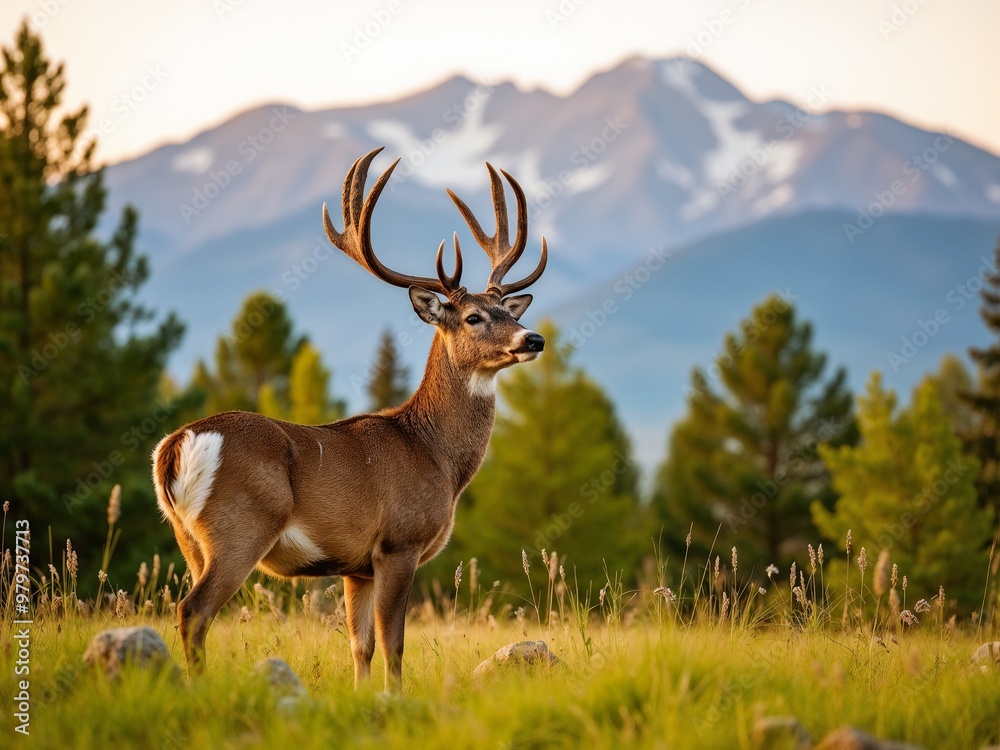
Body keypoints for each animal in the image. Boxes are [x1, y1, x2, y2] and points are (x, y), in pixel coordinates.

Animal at [151, 147, 547, 691]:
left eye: (508, 311)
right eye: (473, 318)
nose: (533, 339)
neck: (437, 457)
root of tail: (177, 443)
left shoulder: (355, 566)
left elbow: (359, 646)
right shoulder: (398, 542)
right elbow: (393, 645)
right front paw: (395, 699)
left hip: (185, 535)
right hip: (240, 525)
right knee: (193, 611)